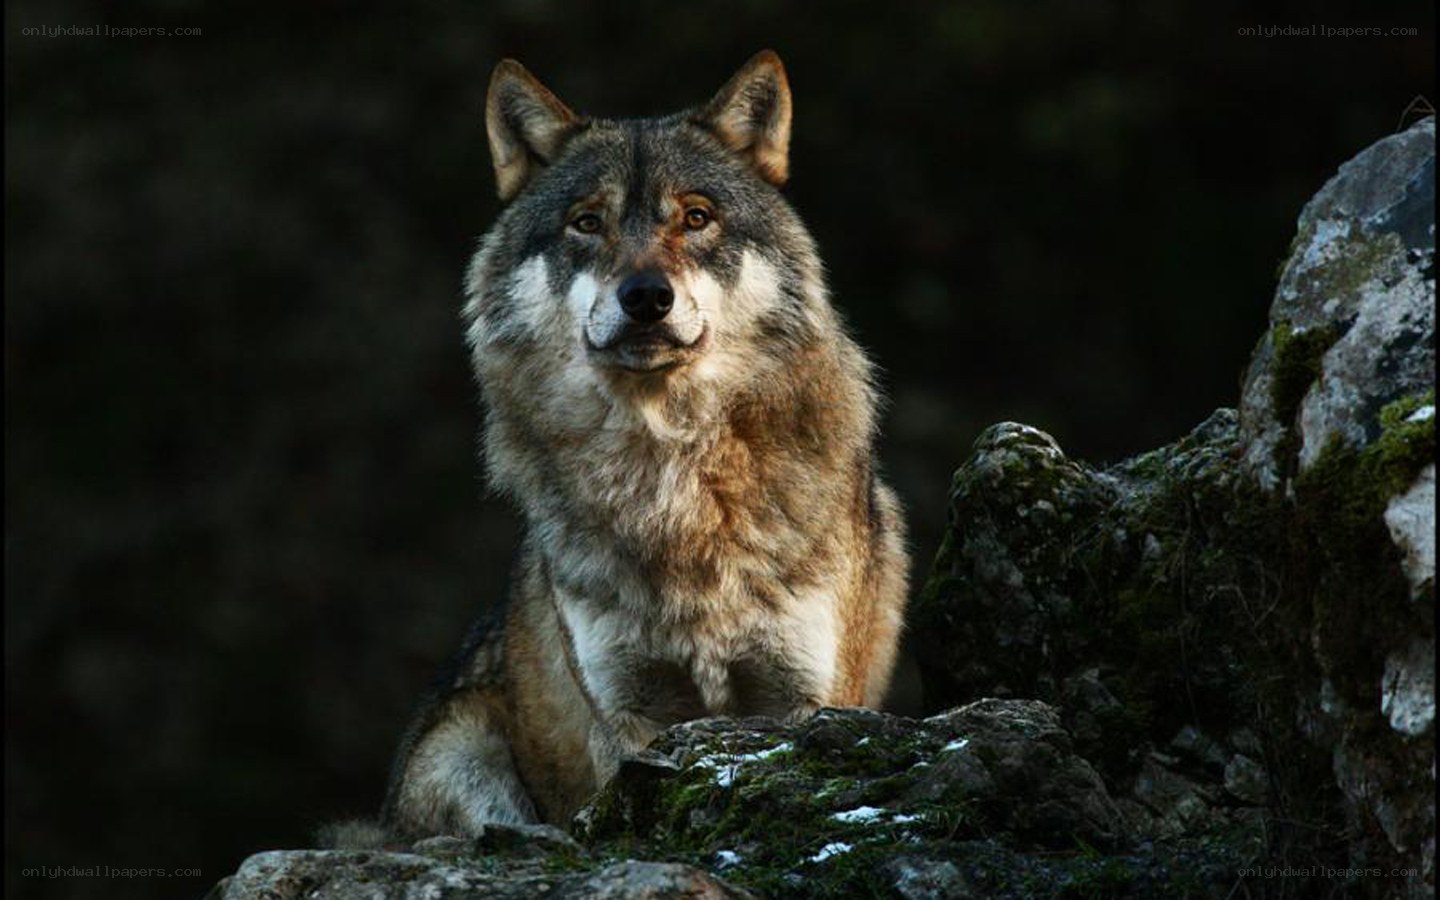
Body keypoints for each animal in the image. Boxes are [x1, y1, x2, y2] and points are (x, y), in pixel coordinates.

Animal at [381, 50, 909, 837]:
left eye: (696, 218)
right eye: (587, 223)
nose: (647, 297)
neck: (672, 480)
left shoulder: (804, 702)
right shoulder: (629, 715)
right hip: (458, 749)